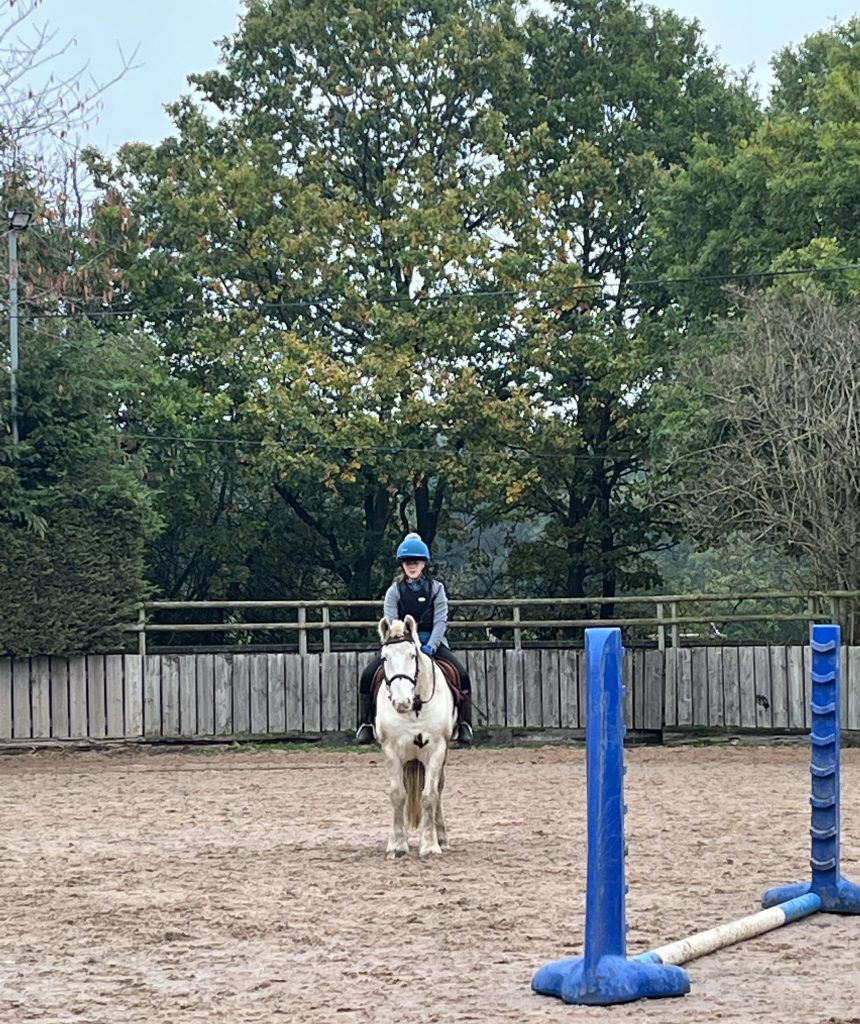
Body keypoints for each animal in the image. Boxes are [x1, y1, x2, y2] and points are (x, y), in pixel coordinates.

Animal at [374, 614, 457, 859]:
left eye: (412, 655)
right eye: (385, 657)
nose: (402, 702)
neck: (415, 708)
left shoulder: (437, 749)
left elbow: (429, 795)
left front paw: (430, 845)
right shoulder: (391, 751)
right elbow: (397, 794)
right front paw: (397, 845)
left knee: (438, 789)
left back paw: (441, 837)